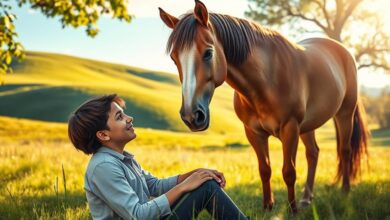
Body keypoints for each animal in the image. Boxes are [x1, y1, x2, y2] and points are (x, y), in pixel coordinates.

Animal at [158, 0, 368, 213]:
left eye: (208, 53)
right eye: (174, 58)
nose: (192, 116)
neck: (267, 79)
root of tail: (343, 50)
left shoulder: (290, 128)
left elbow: (289, 171)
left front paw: (292, 210)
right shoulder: (254, 132)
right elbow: (264, 169)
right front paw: (268, 206)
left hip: (344, 114)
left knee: (345, 150)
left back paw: (344, 192)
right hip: (308, 125)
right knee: (313, 153)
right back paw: (306, 199)